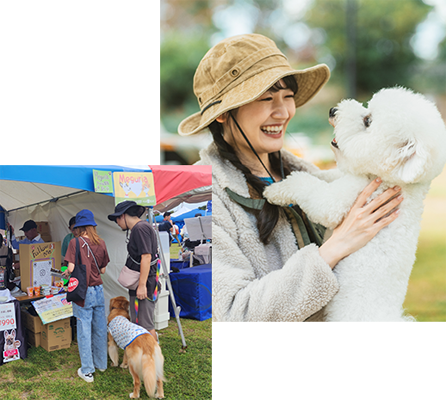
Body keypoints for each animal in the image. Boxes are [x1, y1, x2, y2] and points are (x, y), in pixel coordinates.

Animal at [264, 86, 446, 318]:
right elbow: (328, 175)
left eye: (368, 121)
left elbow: (310, 190)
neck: (392, 181)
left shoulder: (350, 196)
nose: (333, 110)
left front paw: (274, 190)